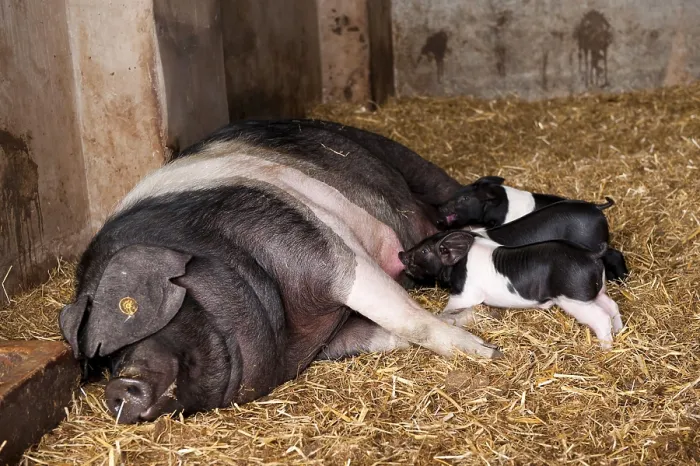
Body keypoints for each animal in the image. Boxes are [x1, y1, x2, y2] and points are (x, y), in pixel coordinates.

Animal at [58, 119, 502, 424]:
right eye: (104, 360)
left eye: (131, 310)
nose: (116, 388)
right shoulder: (330, 343)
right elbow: (386, 335)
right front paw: (472, 322)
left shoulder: (323, 247)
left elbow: (405, 317)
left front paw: (485, 351)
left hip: (406, 160)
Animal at [398, 231, 624, 349]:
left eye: (424, 251)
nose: (401, 254)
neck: (458, 263)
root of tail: (591, 254)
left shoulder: (465, 293)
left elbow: (450, 307)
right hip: (595, 292)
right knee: (612, 306)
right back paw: (619, 331)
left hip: (574, 299)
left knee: (601, 317)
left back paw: (605, 347)